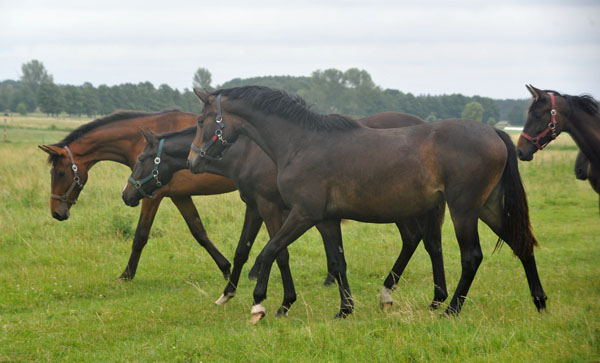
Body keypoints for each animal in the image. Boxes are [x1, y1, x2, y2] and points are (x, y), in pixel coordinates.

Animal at [37, 111, 237, 282]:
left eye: (60, 173)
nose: (56, 212)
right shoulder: (180, 196)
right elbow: (199, 232)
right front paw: (225, 267)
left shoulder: (151, 196)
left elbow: (140, 236)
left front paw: (126, 274)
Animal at [122, 112, 448, 318]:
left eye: (141, 159)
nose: (127, 195)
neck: (247, 153)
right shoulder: (255, 207)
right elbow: (244, 250)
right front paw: (228, 293)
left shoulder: (271, 207)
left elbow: (277, 253)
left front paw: (277, 300)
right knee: (422, 242)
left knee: (419, 240)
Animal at [189, 86, 548, 324]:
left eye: (203, 120)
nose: (193, 161)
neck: (300, 143)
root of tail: (493, 131)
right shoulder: (326, 219)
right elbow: (337, 263)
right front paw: (344, 309)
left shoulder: (303, 214)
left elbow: (269, 251)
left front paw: (260, 305)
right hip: (488, 207)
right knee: (521, 245)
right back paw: (540, 302)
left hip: (464, 210)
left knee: (471, 256)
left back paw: (450, 310)